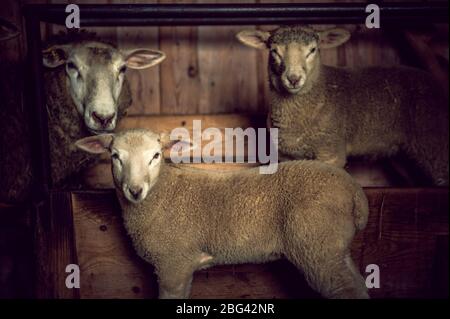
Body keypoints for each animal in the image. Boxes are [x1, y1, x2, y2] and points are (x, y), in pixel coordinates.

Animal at [237, 26, 448, 186]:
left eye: (312, 50)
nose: (294, 78)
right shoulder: (287, 156)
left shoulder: (331, 152)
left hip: (433, 144)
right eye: (274, 51)